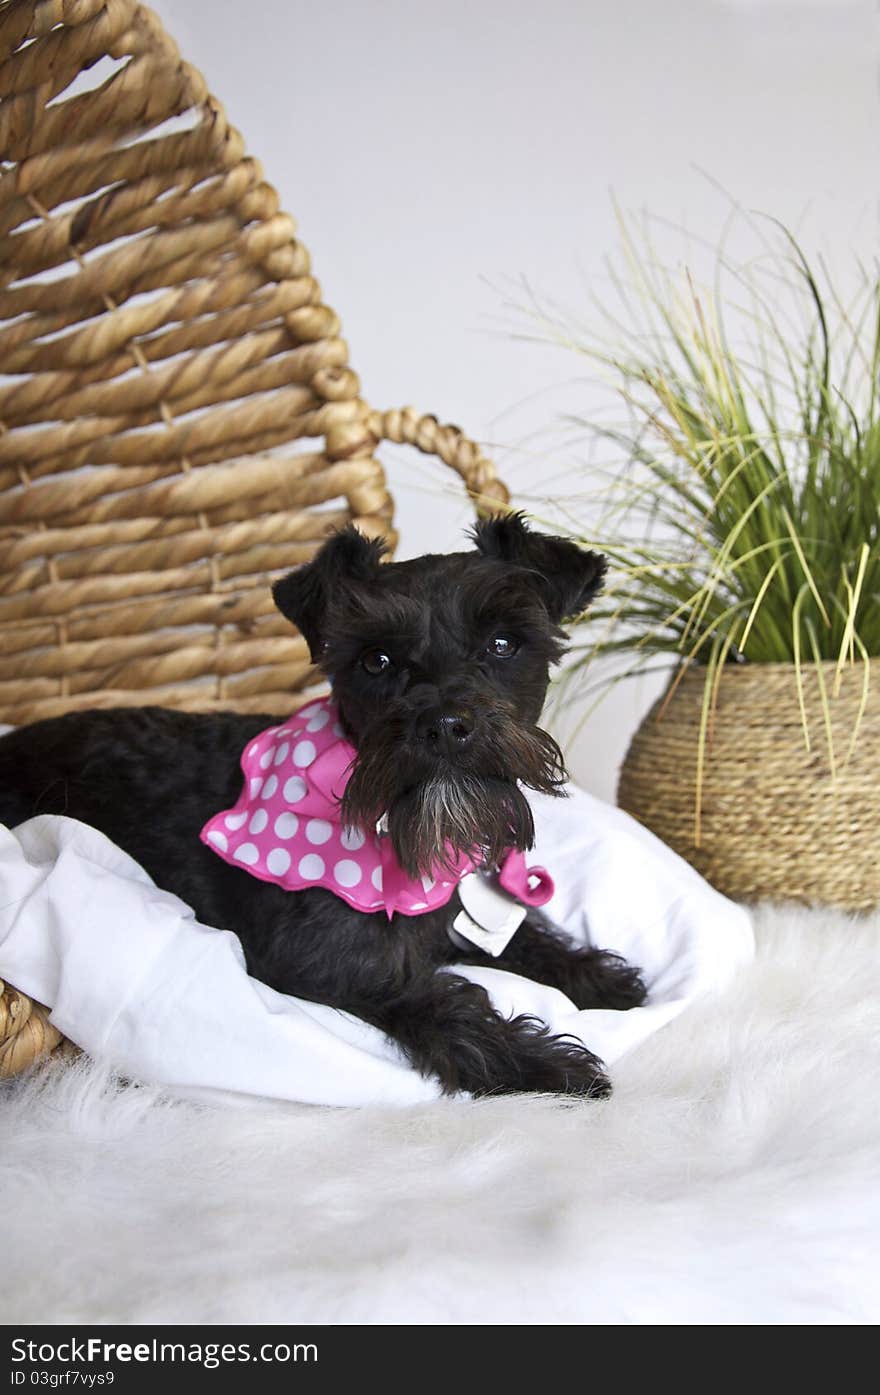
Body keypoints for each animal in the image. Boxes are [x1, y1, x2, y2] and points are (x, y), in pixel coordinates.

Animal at [0, 516, 647, 1099]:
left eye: (503, 644)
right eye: (375, 661)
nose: (444, 724)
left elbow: (522, 937)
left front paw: (599, 977)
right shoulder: (325, 964)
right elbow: (442, 1001)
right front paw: (548, 1064)